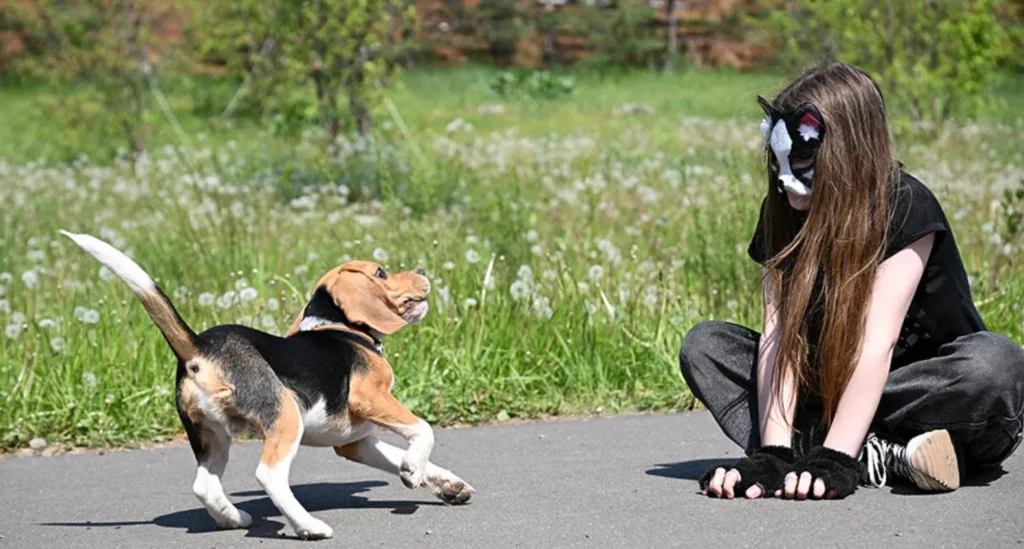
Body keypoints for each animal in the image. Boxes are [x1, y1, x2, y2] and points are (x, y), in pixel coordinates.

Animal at [61, 230, 477, 540]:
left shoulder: (354, 441)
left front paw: (444, 483)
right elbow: (423, 430)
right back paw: (308, 526)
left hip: (211, 435)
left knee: (204, 485)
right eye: (380, 274)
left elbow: (402, 455)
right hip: (285, 415)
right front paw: (413, 470)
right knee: (269, 474)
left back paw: (232, 518)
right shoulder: (371, 397)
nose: (422, 269)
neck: (340, 327)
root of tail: (199, 346)